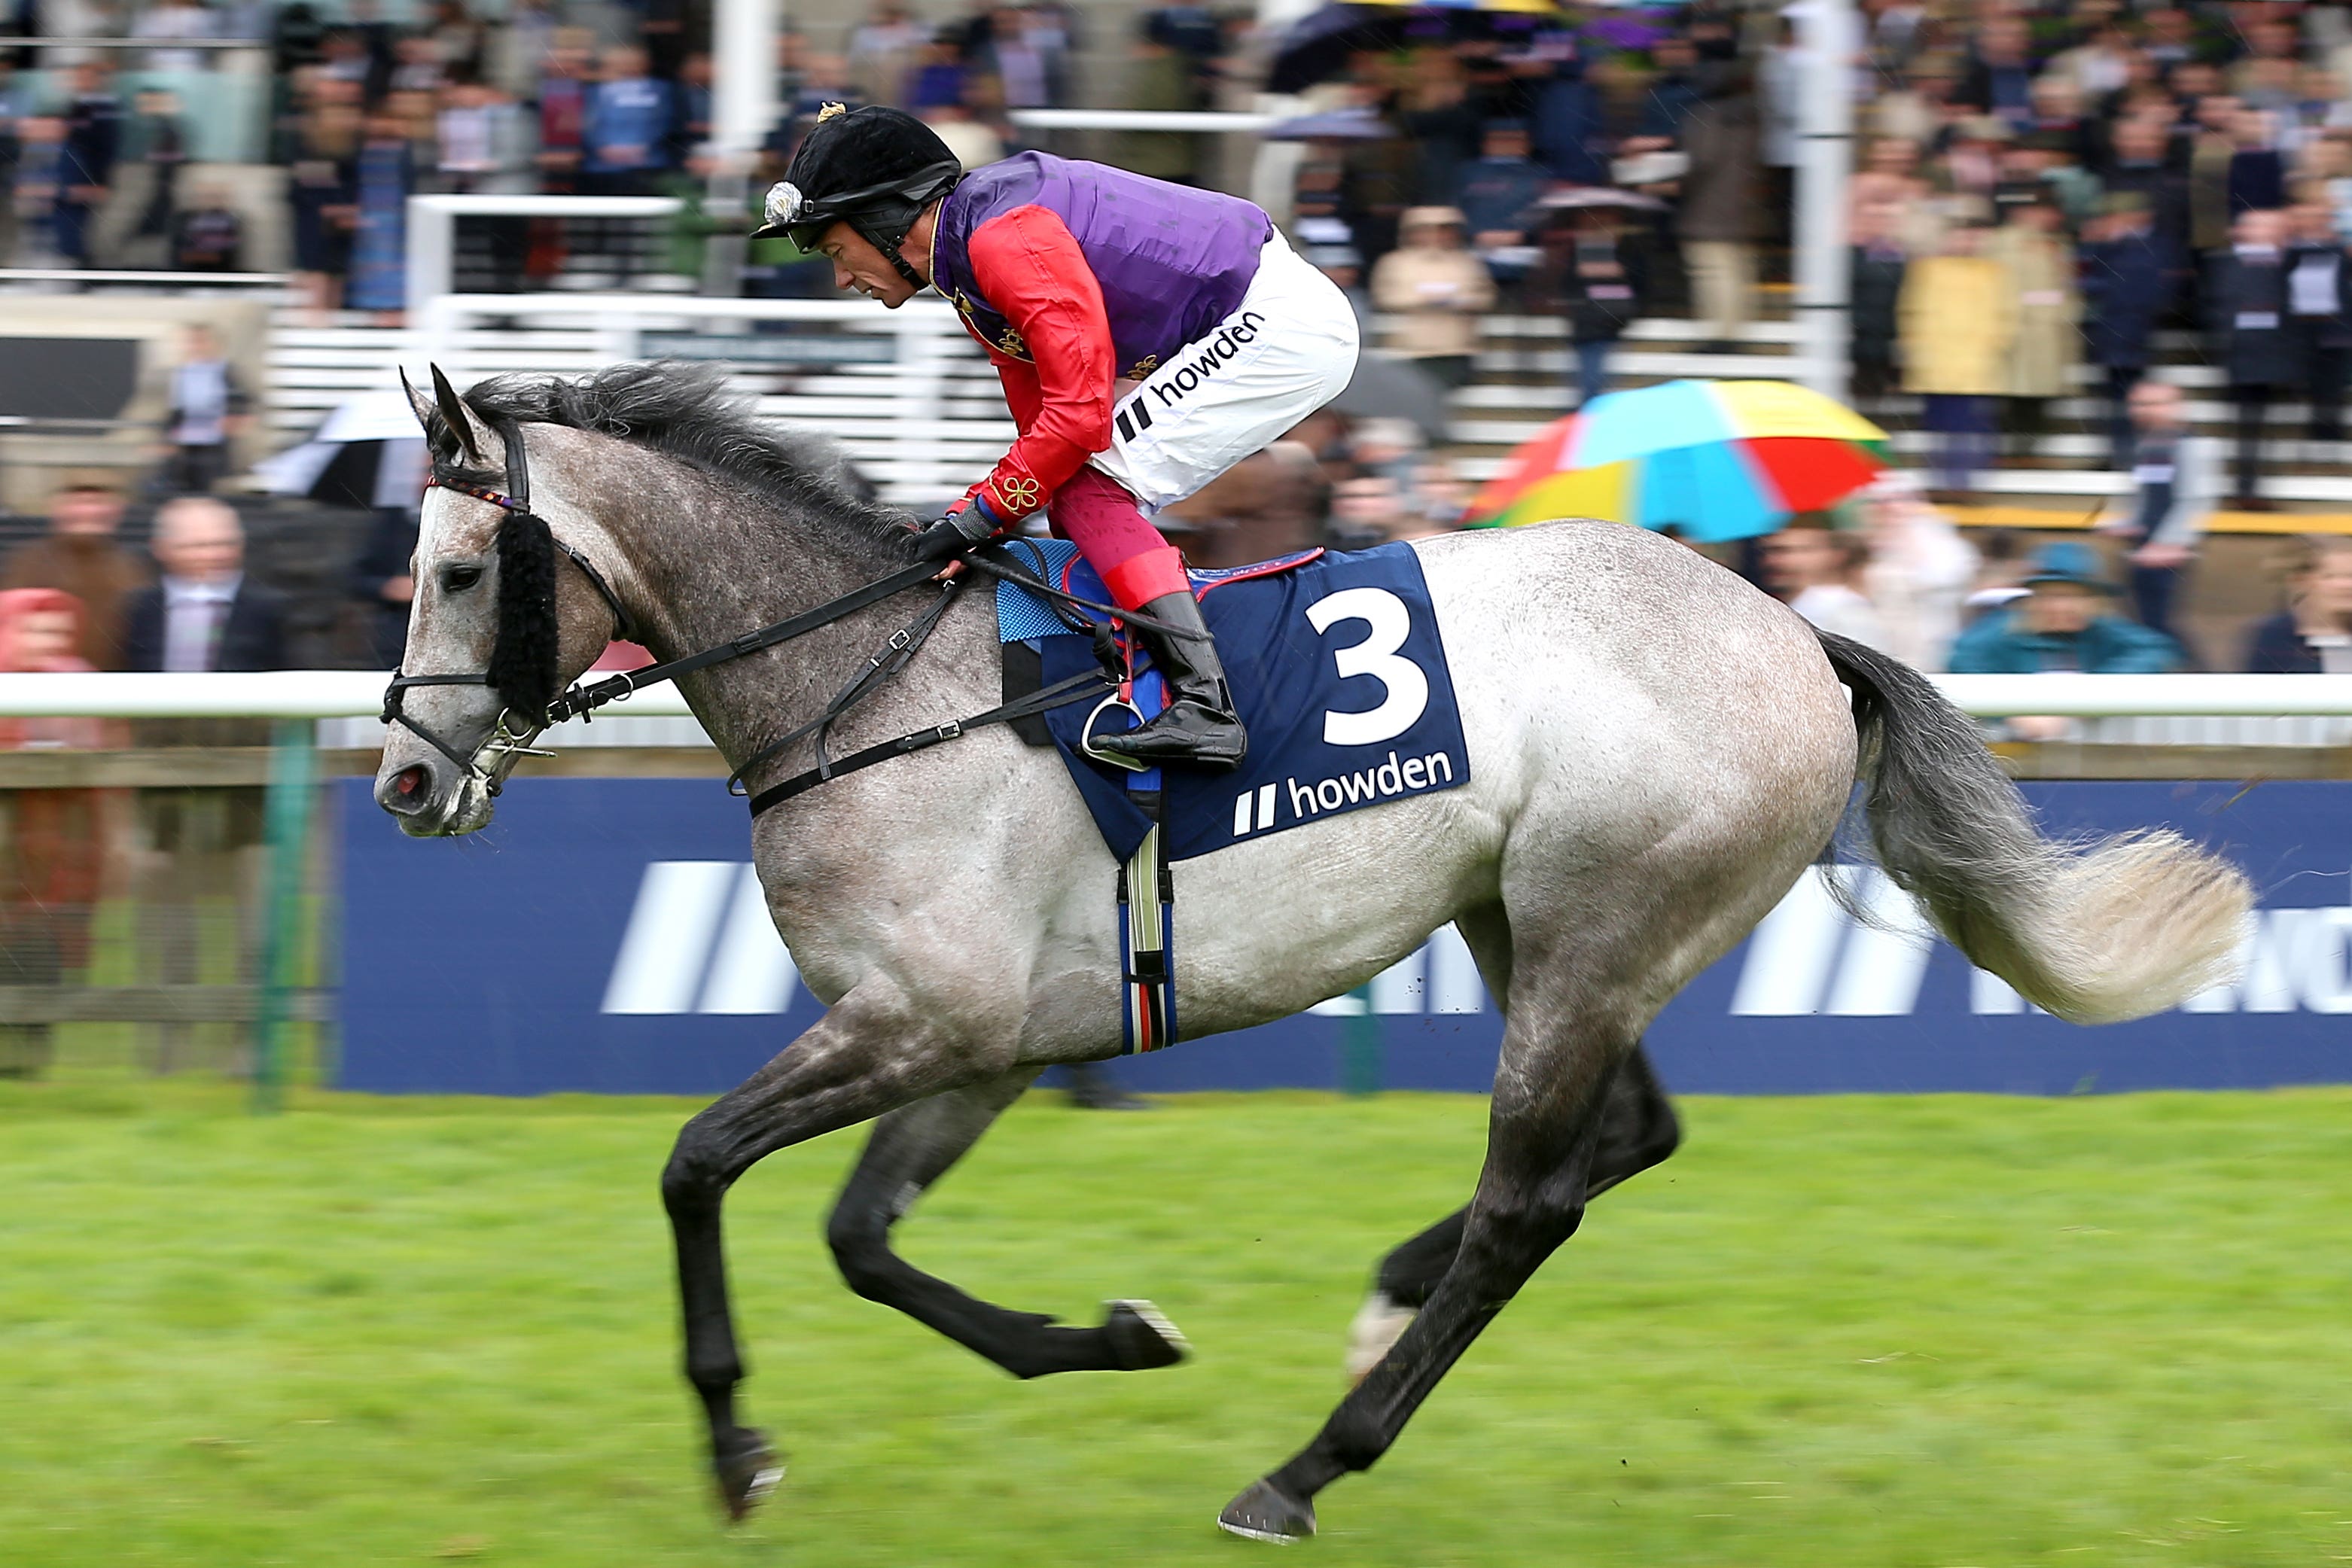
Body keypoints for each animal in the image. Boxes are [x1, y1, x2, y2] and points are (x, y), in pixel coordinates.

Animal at [376, 364, 2248, 1542]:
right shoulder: (981, 1039)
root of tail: (1794, 631)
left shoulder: (925, 1021)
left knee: (1524, 1203)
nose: (400, 777)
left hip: (1598, 918)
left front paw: (736, 1449)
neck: (875, 689)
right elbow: (860, 1241)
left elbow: (696, 1166)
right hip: (1535, 922)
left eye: (461, 570)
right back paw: (1376, 1311)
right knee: (1618, 1142)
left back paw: (1304, 1467)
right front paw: (1111, 1335)